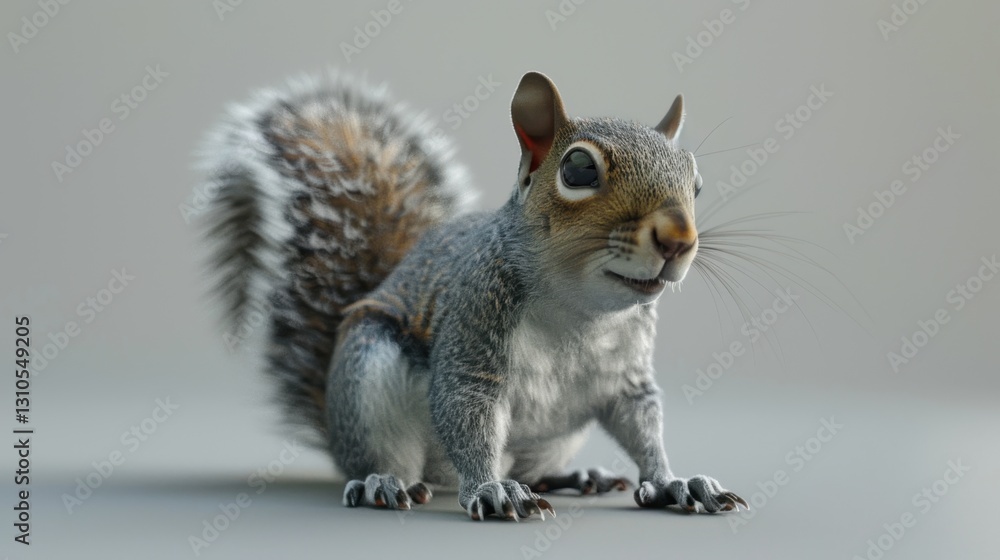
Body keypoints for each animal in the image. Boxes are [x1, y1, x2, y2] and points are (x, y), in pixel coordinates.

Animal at [199, 70, 748, 520]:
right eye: (578, 170)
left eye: (696, 183)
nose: (679, 239)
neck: (578, 312)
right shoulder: (475, 318)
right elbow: (466, 409)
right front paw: (490, 490)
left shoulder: (626, 374)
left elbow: (642, 423)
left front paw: (674, 483)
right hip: (368, 373)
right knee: (388, 458)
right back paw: (385, 483)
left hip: (557, 435)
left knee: (531, 467)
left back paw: (575, 478)